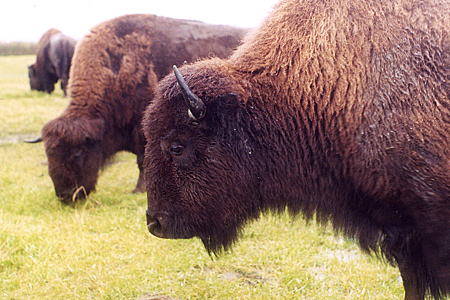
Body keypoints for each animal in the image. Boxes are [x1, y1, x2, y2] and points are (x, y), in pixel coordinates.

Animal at [29, 12, 248, 203]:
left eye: (77, 154)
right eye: (49, 155)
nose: (66, 196)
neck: (117, 66)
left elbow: (143, 161)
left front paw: (139, 190)